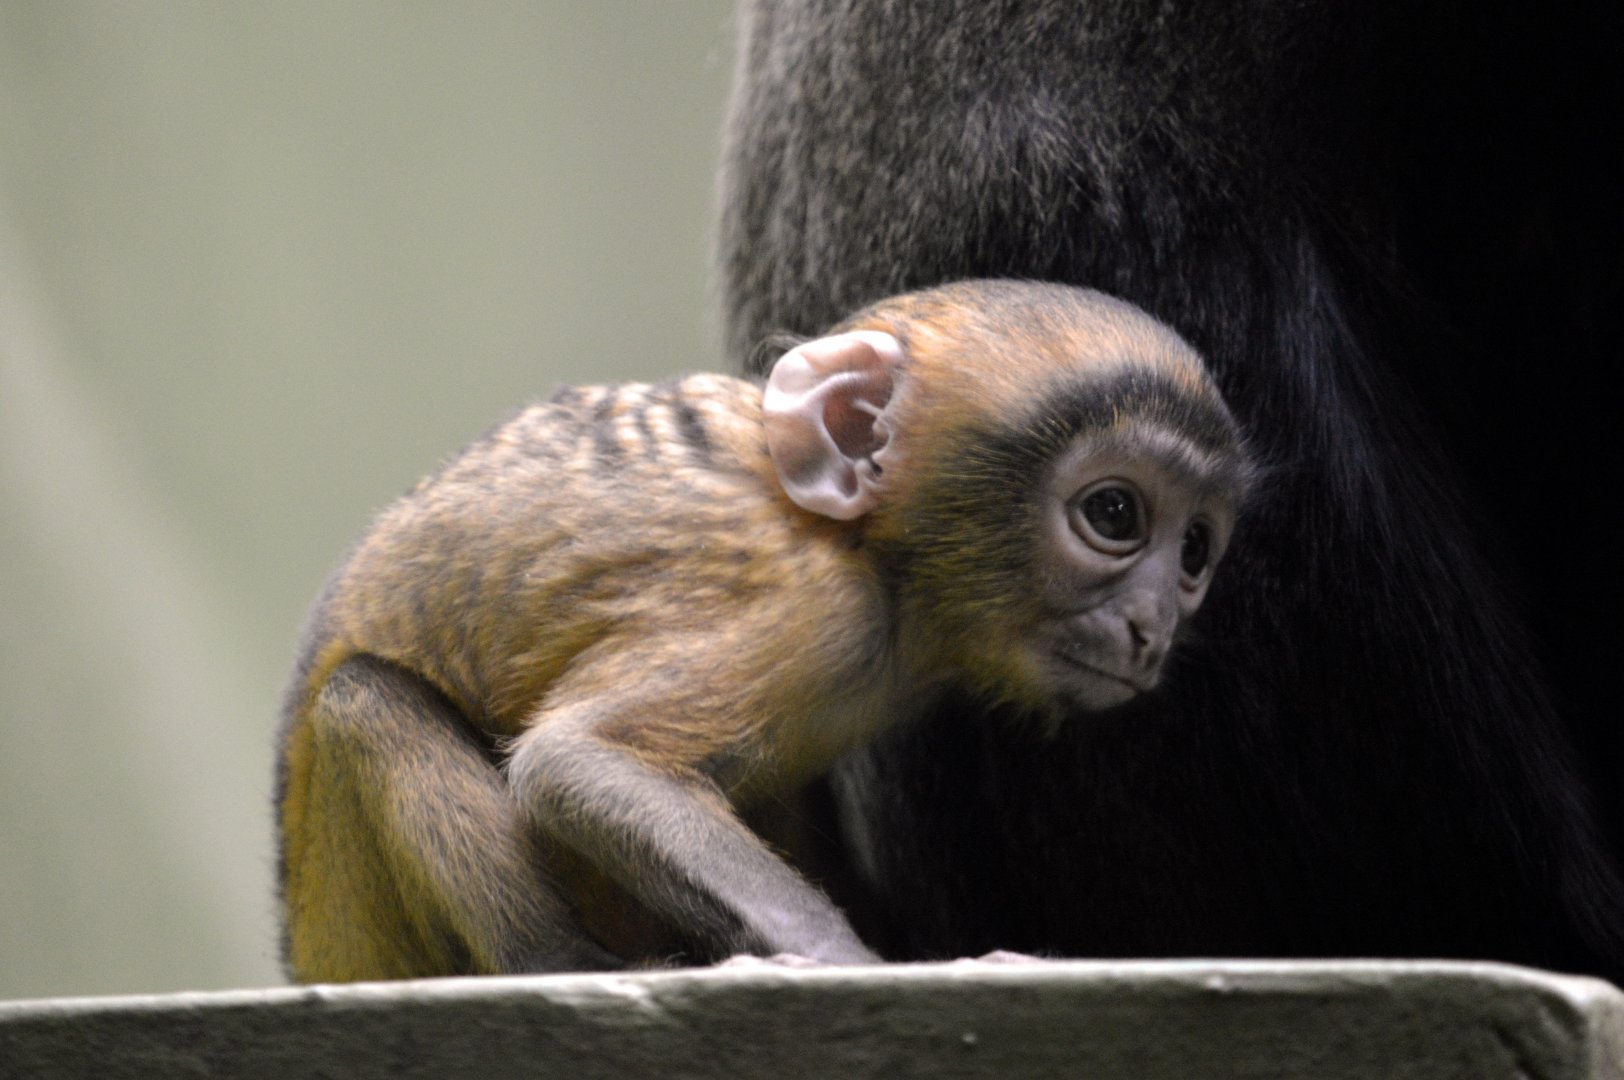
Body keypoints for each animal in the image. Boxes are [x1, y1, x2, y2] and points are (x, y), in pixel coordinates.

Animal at [275, 279, 1253, 981]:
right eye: (1115, 514)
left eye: (1194, 552)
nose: (1153, 625)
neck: (870, 554)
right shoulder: (812, 610)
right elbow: (579, 761)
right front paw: (857, 965)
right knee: (366, 699)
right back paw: (558, 966)